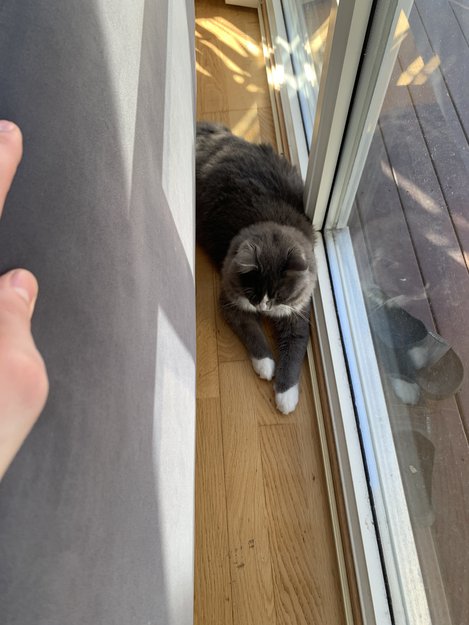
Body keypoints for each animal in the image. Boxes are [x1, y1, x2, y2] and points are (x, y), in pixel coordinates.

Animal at [196, 122, 317, 414]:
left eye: (279, 295)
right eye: (255, 294)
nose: (264, 307)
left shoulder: (297, 317)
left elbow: (293, 354)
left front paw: (285, 398)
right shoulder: (231, 304)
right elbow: (253, 334)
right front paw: (266, 366)